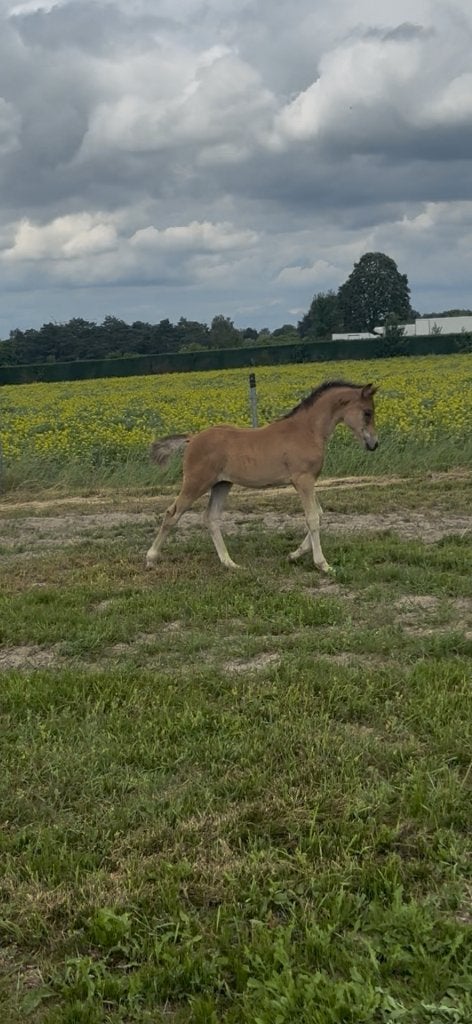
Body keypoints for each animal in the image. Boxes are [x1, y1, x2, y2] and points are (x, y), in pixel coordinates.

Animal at [146, 379, 378, 572]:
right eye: (367, 412)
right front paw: (323, 564)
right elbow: (312, 518)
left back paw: (229, 563)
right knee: (172, 513)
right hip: (196, 482)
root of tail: (192, 439)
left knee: (211, 517)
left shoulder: (307, 481)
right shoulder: (303, 480)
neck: (307, 431)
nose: (374, 444)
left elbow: (319, 514)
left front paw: (293, 555)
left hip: (222, 484)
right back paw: (151, 558)